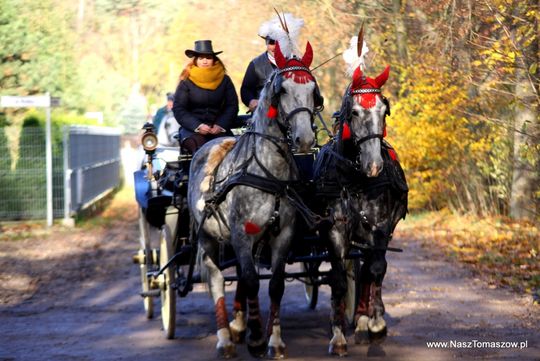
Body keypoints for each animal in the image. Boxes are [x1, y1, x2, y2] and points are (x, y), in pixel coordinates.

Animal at [188, 41, 320, 358]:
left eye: (313, 89)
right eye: (282, 90)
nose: (305, 139)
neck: (267, 172)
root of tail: (211, 141)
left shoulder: (282, 236)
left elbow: (275, 285)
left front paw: (275, 341)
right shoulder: (241, 234)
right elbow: (249, 281)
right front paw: (257, 339)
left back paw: (236, 326)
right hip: (208, 238)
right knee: (217, 279)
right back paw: (225, 338)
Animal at [314, 64, 408, 354]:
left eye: (383, 110)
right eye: (354, 112)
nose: (374, 165)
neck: (354, 179)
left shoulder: (380, 226)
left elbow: (375, 269)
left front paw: (376, 324)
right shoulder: (334, 232)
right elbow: (338, 278)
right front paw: (337, 336)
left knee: (369, 269)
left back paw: (366, 320)